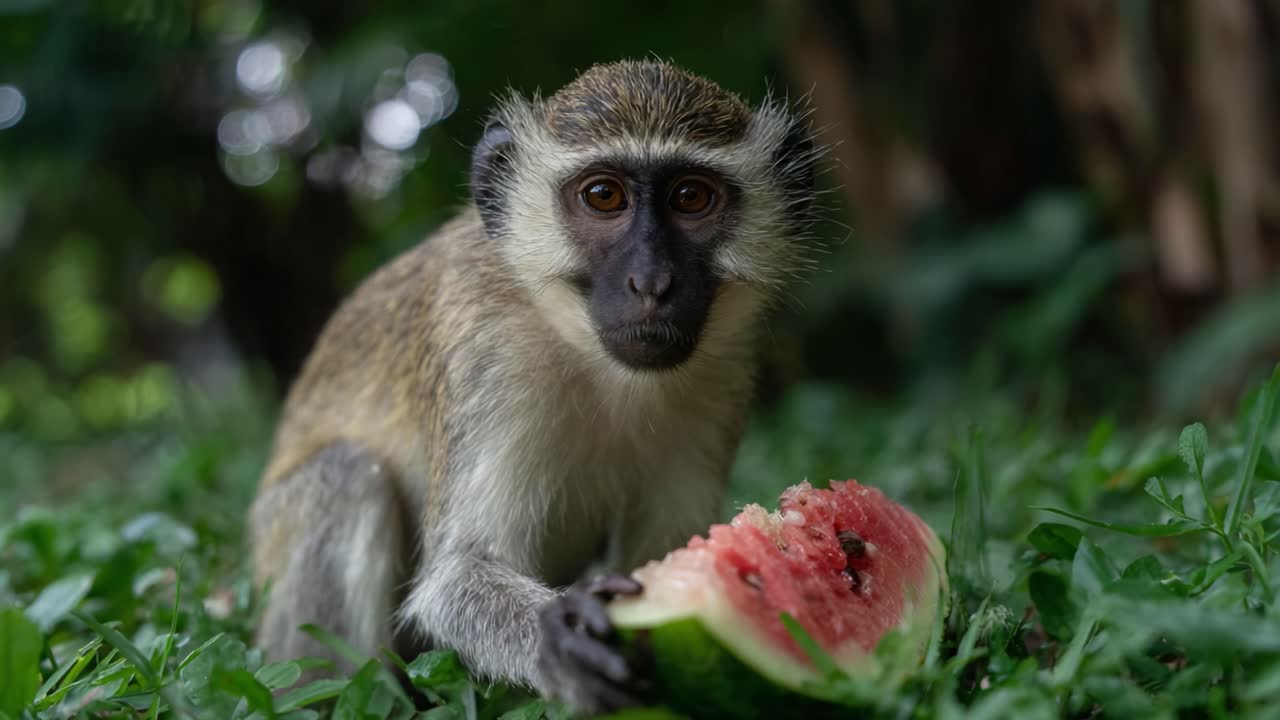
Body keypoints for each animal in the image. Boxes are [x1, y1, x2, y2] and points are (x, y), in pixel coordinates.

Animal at [247, 59, 823, 714]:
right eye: (604, 196)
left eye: (690, 197)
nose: (651, 282)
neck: (602, 367)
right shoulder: (486, 355)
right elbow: (454, 577)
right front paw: (560, 637)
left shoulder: (722, 375)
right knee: (346, 478)